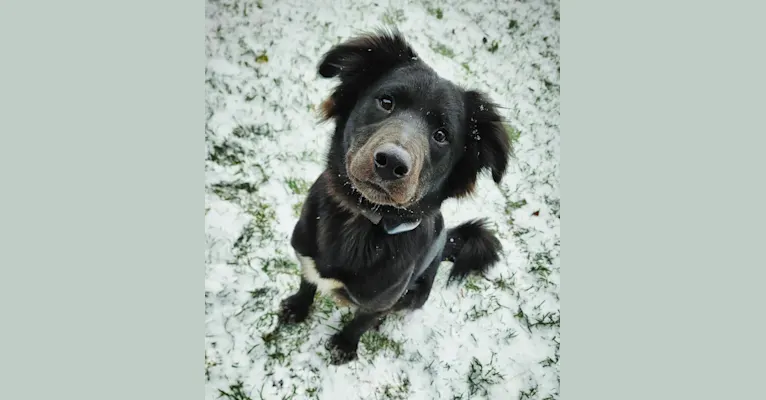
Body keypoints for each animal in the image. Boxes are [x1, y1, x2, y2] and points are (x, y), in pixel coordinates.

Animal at [280, 29, 512, 364]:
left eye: (441, 135)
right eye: (386, 102)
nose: (391, 163)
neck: (361, 219)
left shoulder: (382, 299)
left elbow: (362, 320)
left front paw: (345, 344)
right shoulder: (305, 257)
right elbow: (307, 283)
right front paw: (297, 307)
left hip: (416, 294)